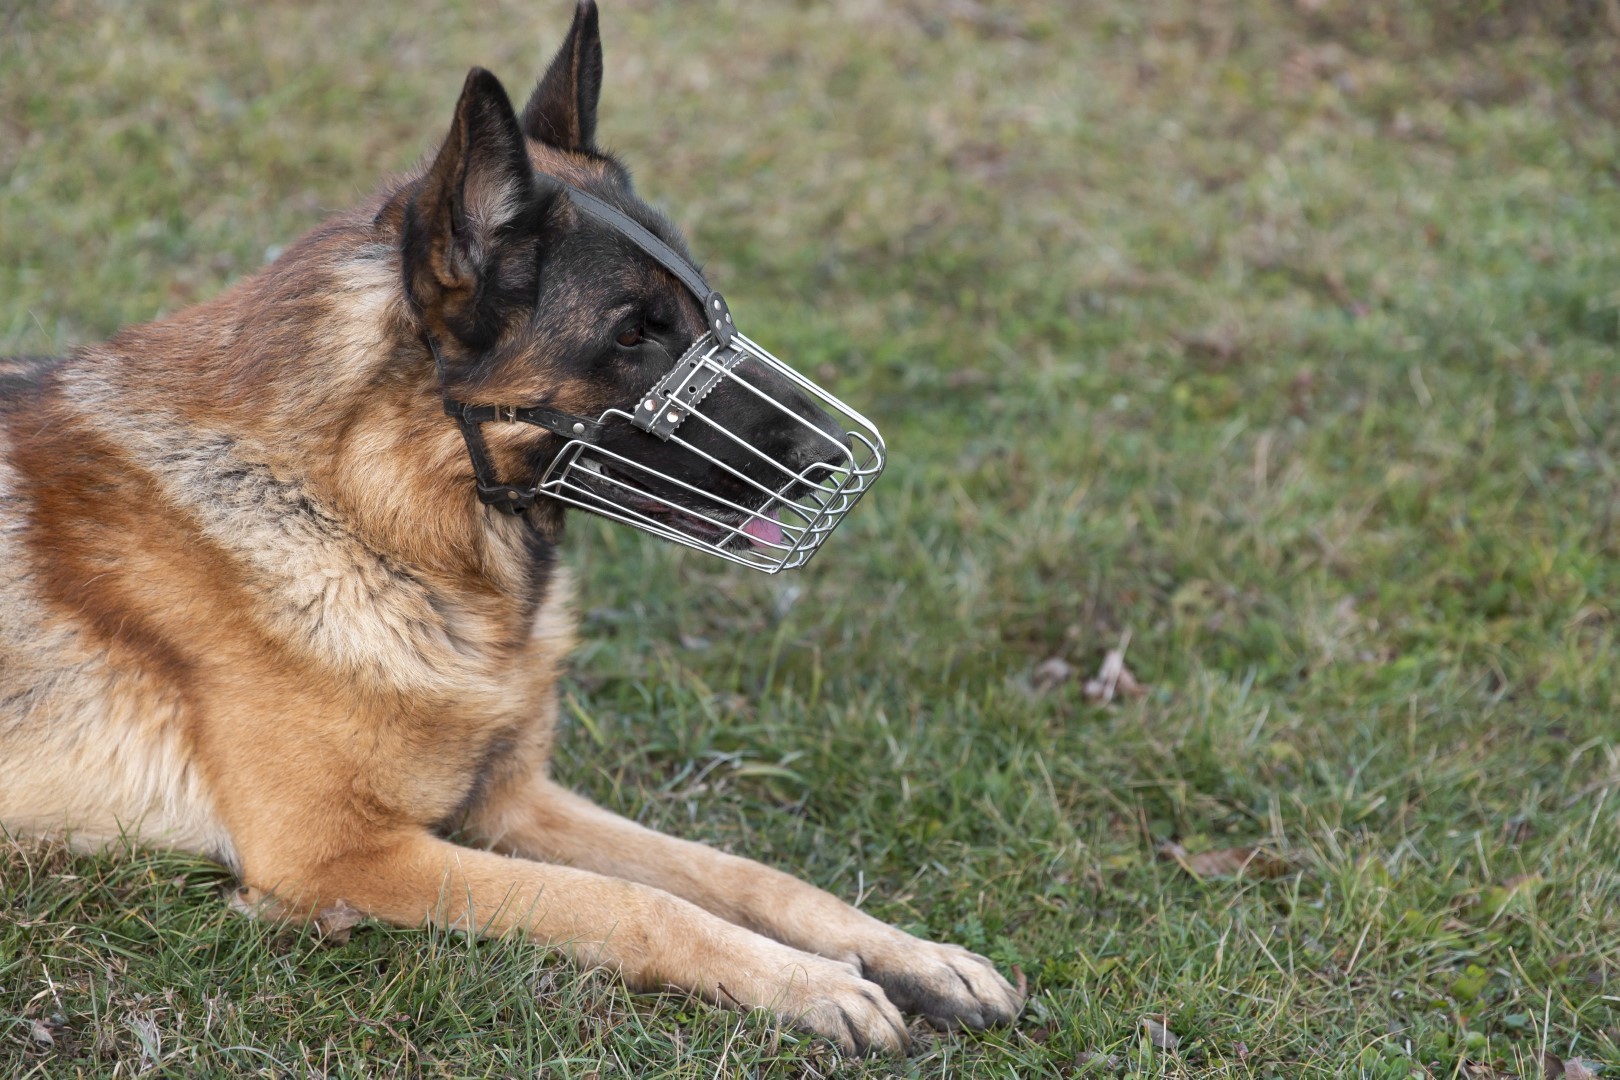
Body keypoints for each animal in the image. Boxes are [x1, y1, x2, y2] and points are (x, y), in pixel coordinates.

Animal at [3, 0, 1023, 1049]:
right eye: (633, 333)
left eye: (705, 313)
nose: (834, 459)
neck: (374, 521)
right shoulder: (341, 855)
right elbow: (636, 902)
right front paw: (807, 982)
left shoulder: (513, 799)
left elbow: (737, 870)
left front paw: (909, 953)